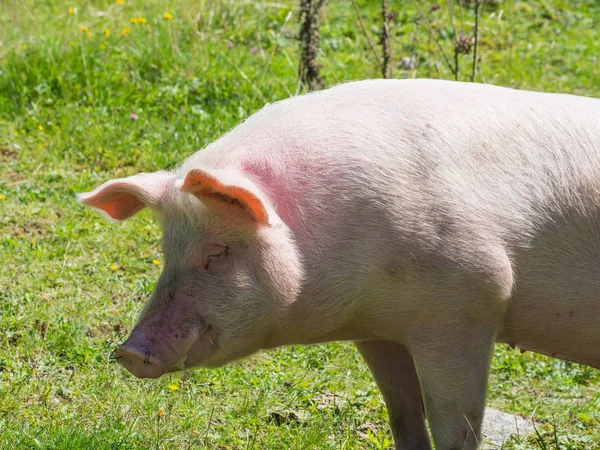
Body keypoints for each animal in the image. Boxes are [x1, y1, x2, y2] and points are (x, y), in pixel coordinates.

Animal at [78, 80, 600, 450]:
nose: (130, 352)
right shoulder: (378, 330)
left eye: (217, 252)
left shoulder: (470, 304)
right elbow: (403, 415)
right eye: (168, 250)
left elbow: (457, 426)